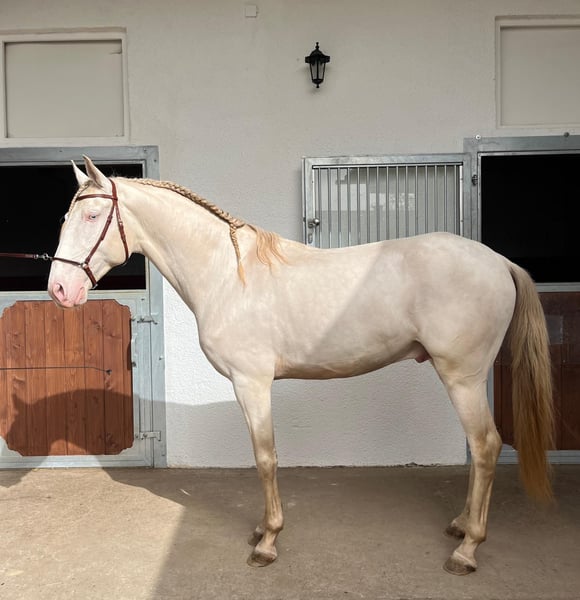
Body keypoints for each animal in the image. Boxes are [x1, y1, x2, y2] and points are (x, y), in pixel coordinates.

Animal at [48, 156, 554, 575]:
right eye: (66, 217)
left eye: (92, 217)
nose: (59, 291)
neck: (228, 275)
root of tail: (499, 262)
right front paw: (261, 530)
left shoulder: (252, 383)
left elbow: (265, 458)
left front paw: (267, 541)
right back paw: (460, 525)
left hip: (462, 376)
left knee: (486, 446)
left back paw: (467, 550)